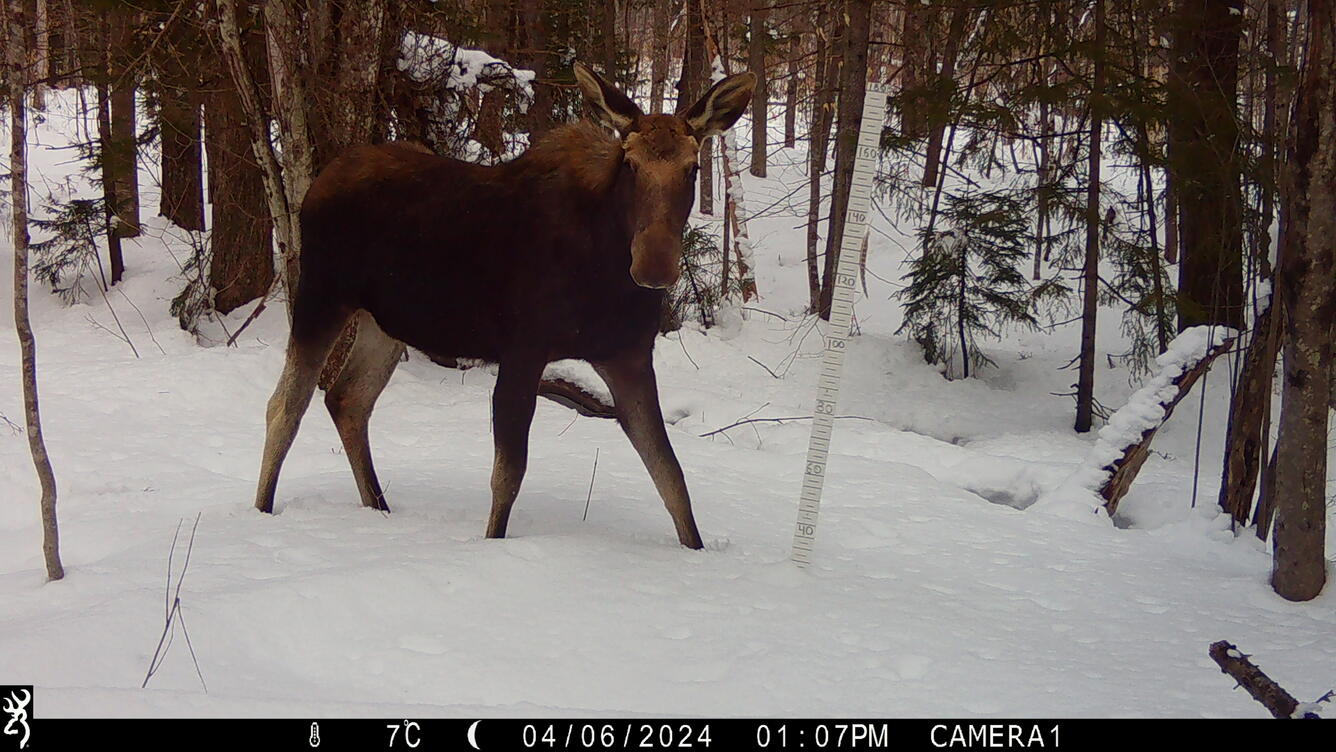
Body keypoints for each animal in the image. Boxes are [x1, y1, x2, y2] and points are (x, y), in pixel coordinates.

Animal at [254, 64, 755, 549]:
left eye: (692, 167)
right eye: (630, 163)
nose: (654, 265)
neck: (607, 278)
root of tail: (320, 181)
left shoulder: (627, 356)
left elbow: (672, 477)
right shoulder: (524, 350)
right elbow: (508, 476)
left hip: (385, 323)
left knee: (347, 399)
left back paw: (378, 507)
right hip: (322, 296)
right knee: (284, 405)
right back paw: (262, 511)